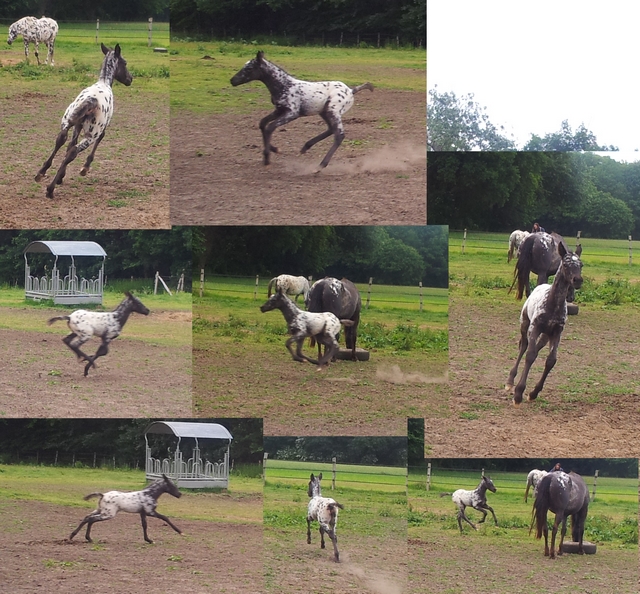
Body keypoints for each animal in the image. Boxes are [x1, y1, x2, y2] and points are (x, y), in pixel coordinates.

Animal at [35, 43, 133, 199]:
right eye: (125, 62)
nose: (130, 79)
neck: (104, 83)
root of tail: (91, 100)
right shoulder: (103, 128)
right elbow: (99, 139)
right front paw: (84, 168)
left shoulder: (77, 126)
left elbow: (69, 145)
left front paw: (61, 176)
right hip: (91, 134)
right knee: (74, 151)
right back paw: (50, 189)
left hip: (67, 122)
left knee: (61, 141)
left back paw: (41, 173)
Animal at [230, 51, 374, 169]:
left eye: (249, 68)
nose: (232, 80)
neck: (285, 86)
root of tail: (351, 90)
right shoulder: (279, 110)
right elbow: (262, 124)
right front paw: (274, 149)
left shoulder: (292, 113)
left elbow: (270, 127)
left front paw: (267, 157)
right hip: (324, 112)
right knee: (330, 129)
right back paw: (306, 147)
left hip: (333, 111)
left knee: (339, 135)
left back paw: (321, 165)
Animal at [505, 242, 583, 405]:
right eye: (565, 264)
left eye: (581, 265)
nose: (578, 280)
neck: (552, 303)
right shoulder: (534, 327)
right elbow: (529, 355)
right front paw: (518, 393)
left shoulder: (557, 332)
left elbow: (550, 360)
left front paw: (533, 393)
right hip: (525, 325)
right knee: (524, 347)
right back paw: (510, 381)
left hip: (545, 336)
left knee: (536, 349)